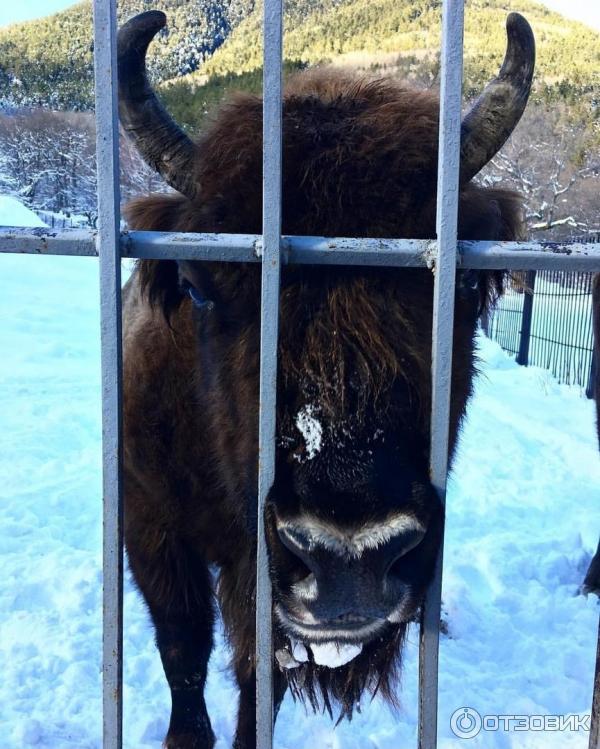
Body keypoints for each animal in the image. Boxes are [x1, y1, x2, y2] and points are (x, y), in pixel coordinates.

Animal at [116, 7, 536, 748]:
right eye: (198, 286)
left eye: (462, 284)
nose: (349, 557)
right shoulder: (152, 527)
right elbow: (184, 647)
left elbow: (260, 679)